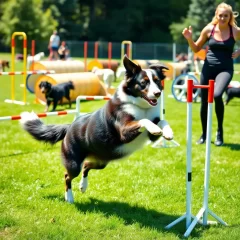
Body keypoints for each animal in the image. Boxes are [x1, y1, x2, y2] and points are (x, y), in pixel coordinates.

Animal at [19, 55, 172, 203]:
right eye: (143, 83)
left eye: (157, 81)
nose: (157, 93)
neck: (141, 106)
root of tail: (69, 126)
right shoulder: (124, 131)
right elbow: (143, 121)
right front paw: (155, 128)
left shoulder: (151, 135)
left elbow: (162, 121)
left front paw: (168, 133)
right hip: (74, 163)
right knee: (67, 175)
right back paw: (69, 198)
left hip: (102, 160)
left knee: (86, 165)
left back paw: (83, 186)